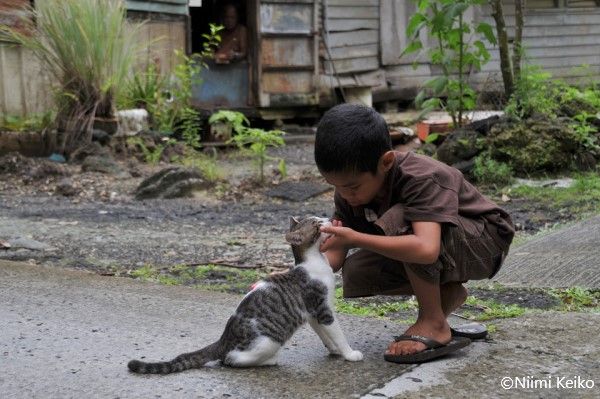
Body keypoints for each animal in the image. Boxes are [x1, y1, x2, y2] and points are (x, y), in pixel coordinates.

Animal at [129, 216, 364, 376]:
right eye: (316, 223)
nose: (329, 218)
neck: (314, 262)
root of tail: (223, 340)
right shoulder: (323, 309)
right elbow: (337, 333)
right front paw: (349, 353)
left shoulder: (312, 313)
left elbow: (326, 335)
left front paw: (334, 350)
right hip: (268, 341)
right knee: (230, 359)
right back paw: (268, 361)